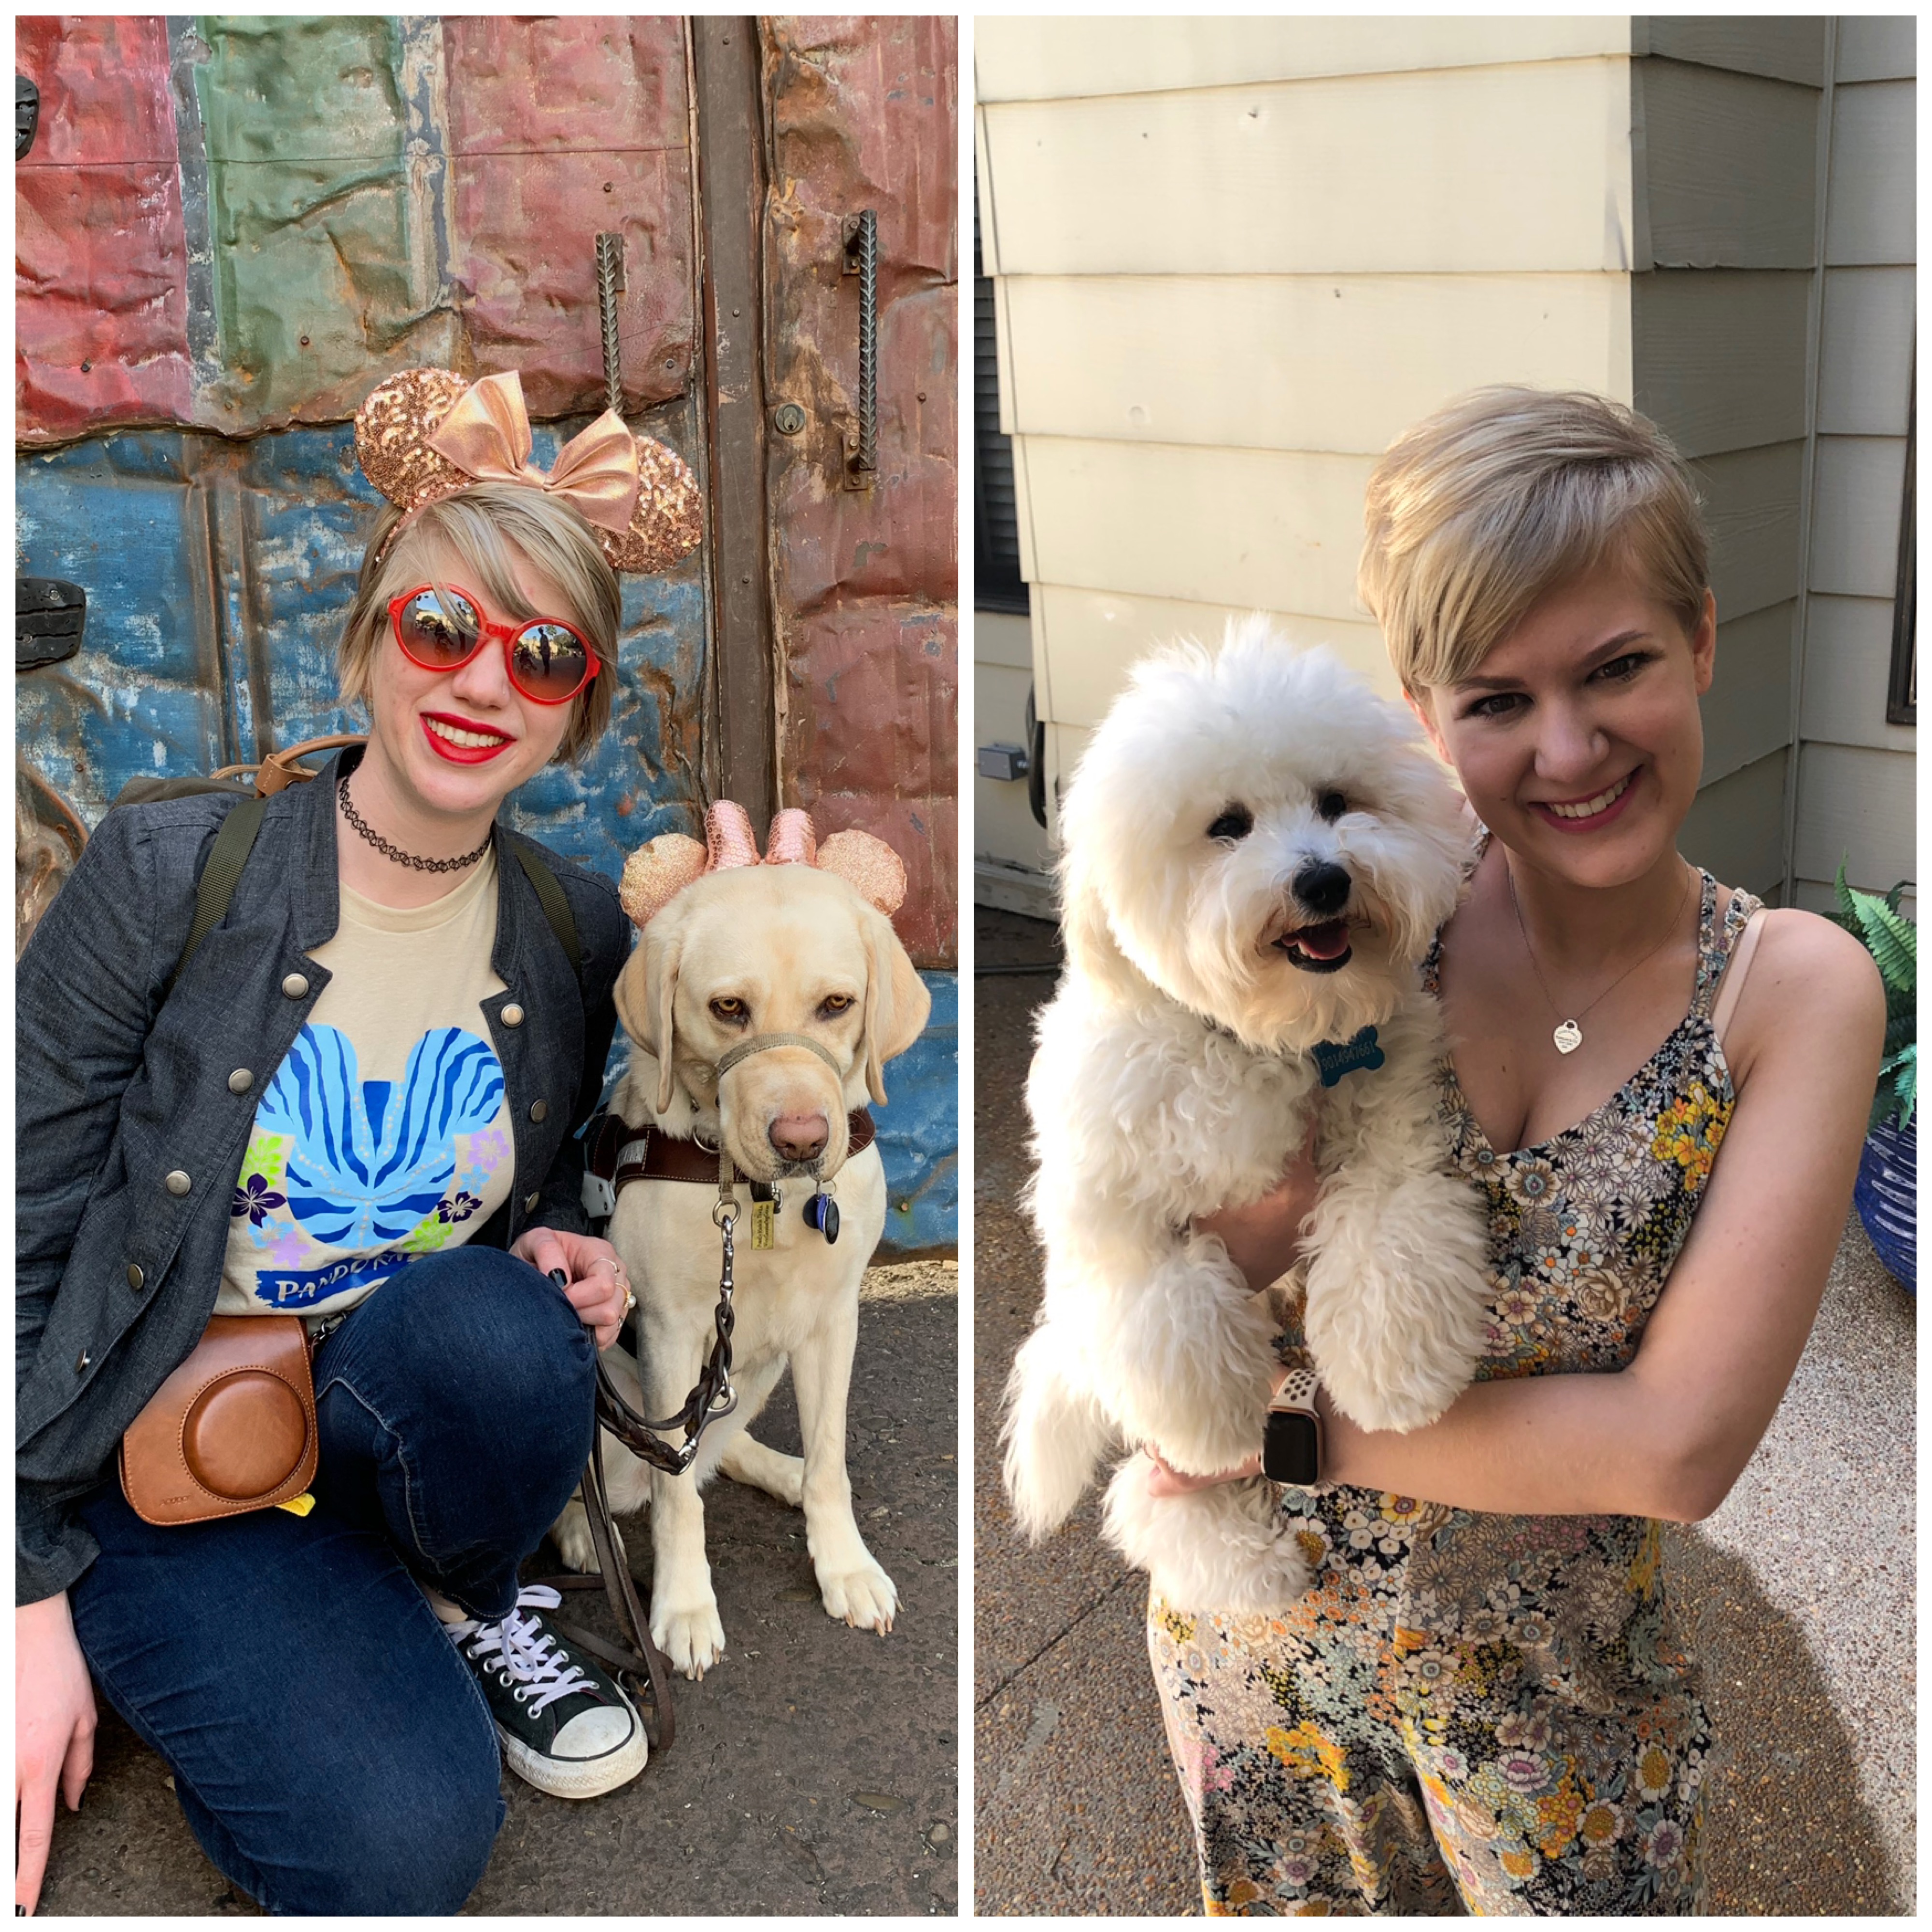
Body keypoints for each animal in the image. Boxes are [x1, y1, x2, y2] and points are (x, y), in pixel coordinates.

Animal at [1005, 618, 1484, 1615]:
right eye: (1227, 825)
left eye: (1337, 801)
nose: (1326, 879)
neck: (1264, 1041)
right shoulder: (1106, 1220)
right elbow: (1167, 1307)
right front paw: (1211, 1419)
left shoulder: (1392, 1136)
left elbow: (1392, 1238)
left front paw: (1397, 1378)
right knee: (1147, 1498)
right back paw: (1247, 1567)